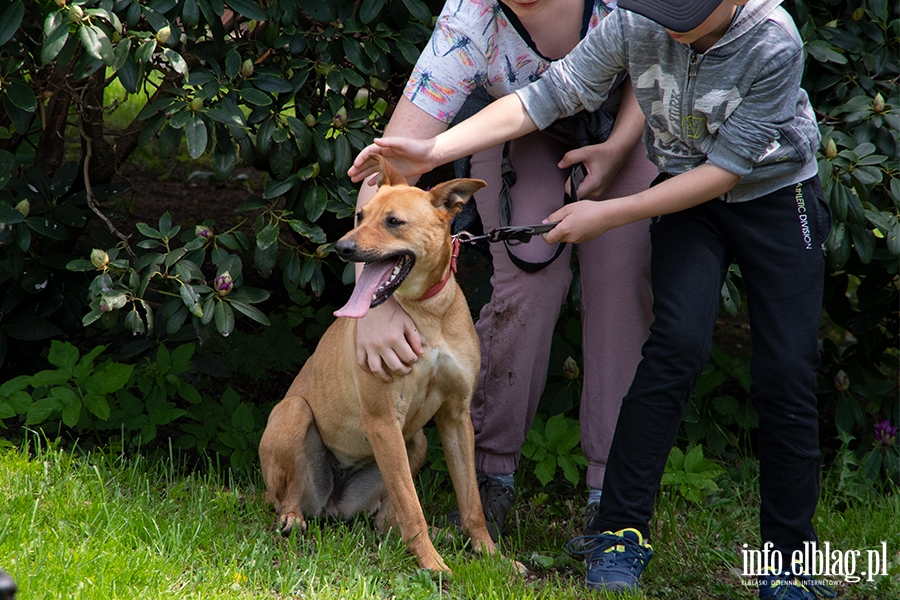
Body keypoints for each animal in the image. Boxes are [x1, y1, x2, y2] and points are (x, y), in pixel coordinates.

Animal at [260, 156, 496, 572]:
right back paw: (292, 519)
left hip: (415, 443)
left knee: (386, 520)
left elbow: (471, 501)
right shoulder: (384, 422)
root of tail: (332, 504)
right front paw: (433, 565)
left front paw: (492, 557)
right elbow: (412, 508)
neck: (426, 313)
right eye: (360, 215)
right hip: (294, 413)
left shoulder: (457, 416)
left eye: (394, 221)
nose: (341, 248)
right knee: (289, 500)